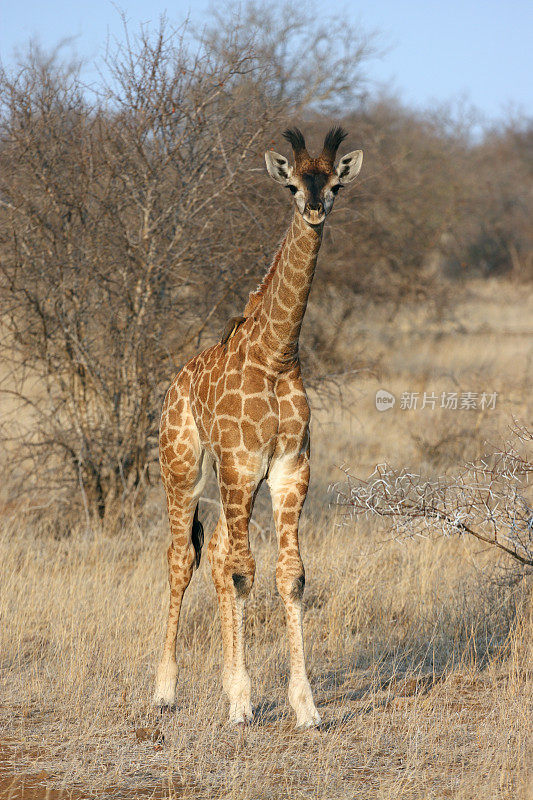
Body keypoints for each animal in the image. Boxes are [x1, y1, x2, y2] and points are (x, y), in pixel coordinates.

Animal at [153, 126, 362, 732]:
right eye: (291, 184)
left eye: (335, 184)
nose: (314, 210)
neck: (276, 356)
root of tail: (174, 385)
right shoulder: (243, 466)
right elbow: (245, 572)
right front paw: (244, 704)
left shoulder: (291, 469)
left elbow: (290, 575)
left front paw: (304, 706)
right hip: (183, 471)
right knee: (184, 559)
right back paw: (164, 691)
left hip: (225, 486)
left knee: (219, 555)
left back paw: (223, 683)